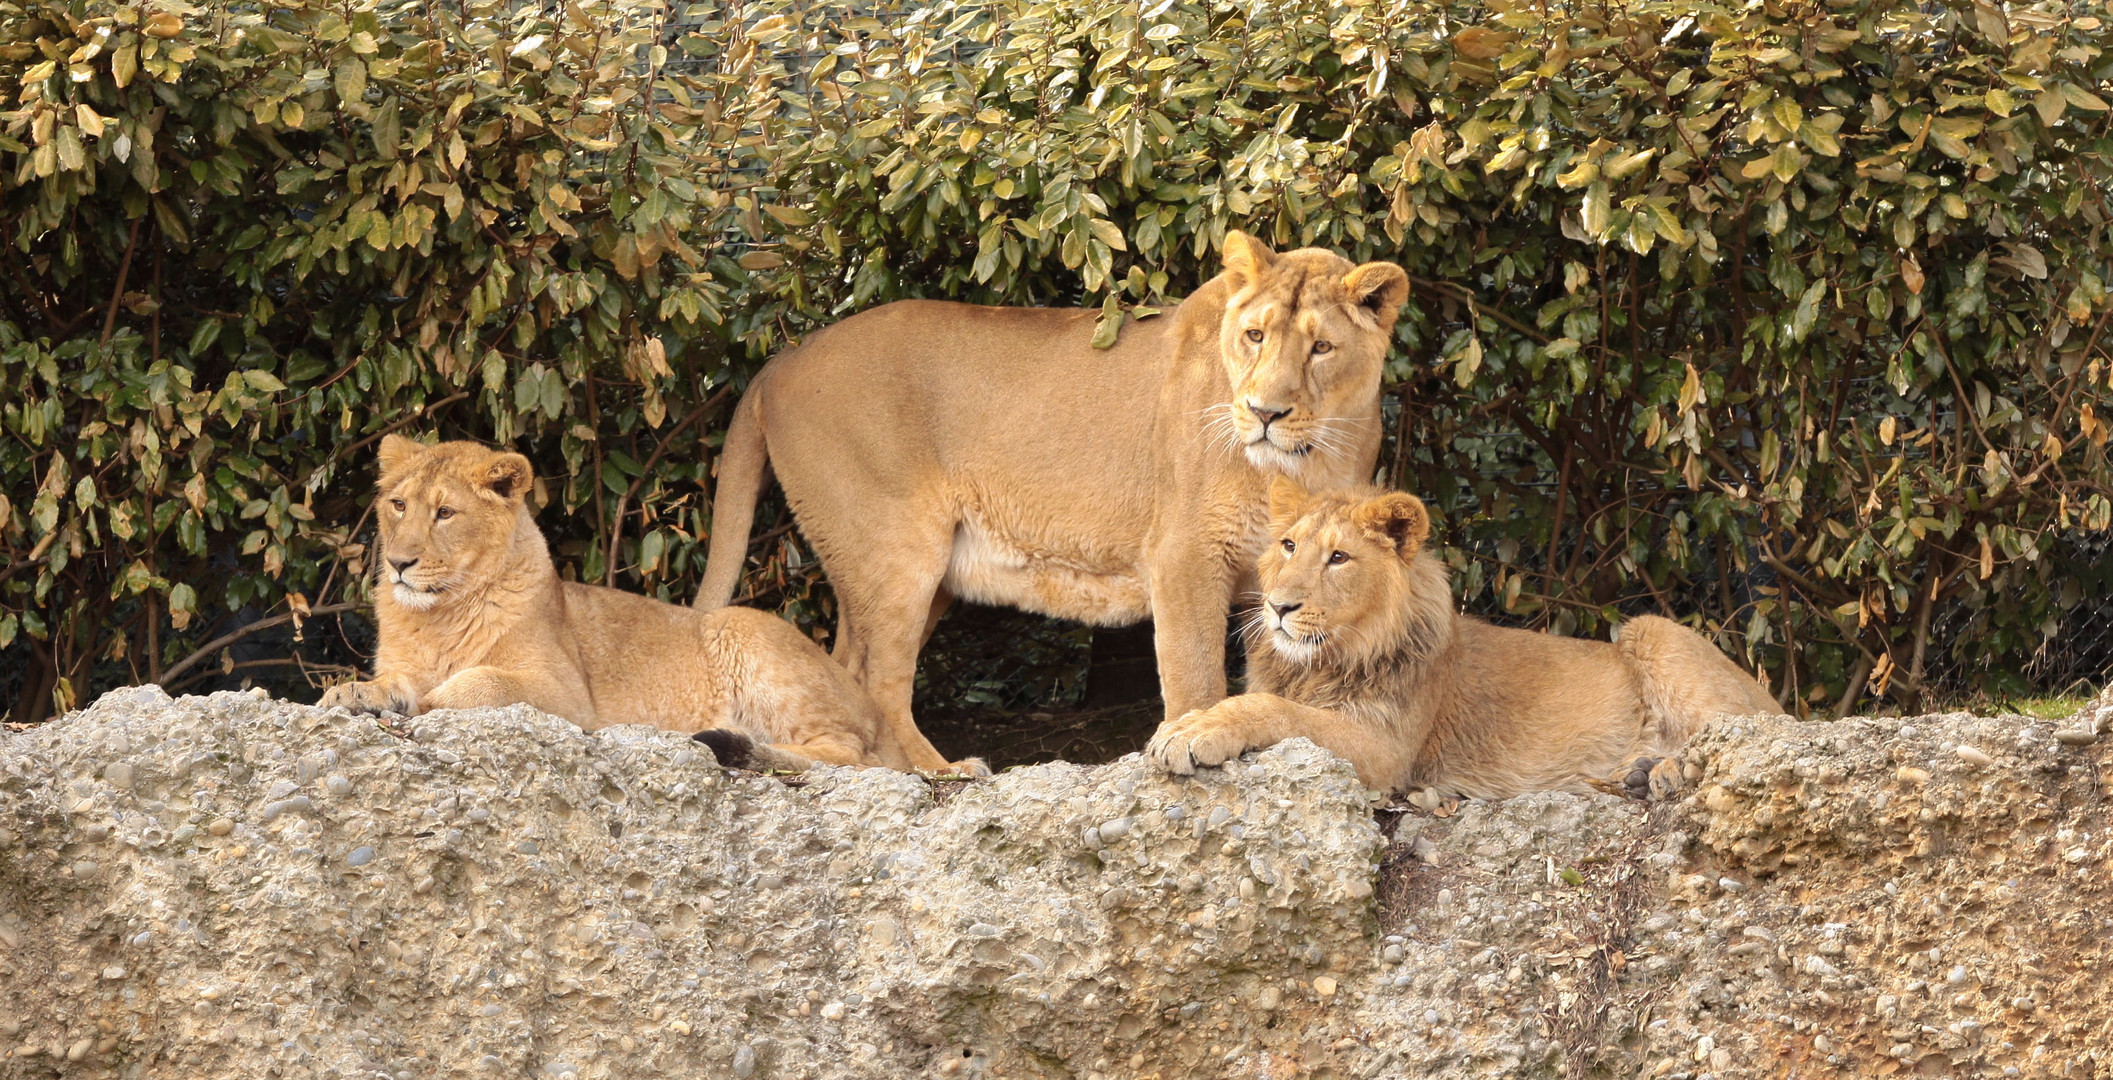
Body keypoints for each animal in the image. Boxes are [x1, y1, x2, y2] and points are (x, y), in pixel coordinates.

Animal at [316, 439, 976, 777]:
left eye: (446, 514)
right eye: (398, 505)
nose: (399, 563)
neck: (438, 613)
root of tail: (874, 710)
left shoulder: (567, 697)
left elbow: (478, 684)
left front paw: (429, 703)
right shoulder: (406, 660)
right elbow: (390, 682)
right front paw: (353, 695)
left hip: (742, 629)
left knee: (851, 756)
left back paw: (733, 739)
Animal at [1149, 479, 1791, 794]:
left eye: (1338, 558)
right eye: (1287, 546)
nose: (1279, 606)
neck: (1320, 662)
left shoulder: (1388, 752)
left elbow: (1276, 710)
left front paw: (1193, 731)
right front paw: (1187, 722)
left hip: (1650, 629)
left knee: (1752, 733)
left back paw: (1668, 771)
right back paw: (1636, 772)